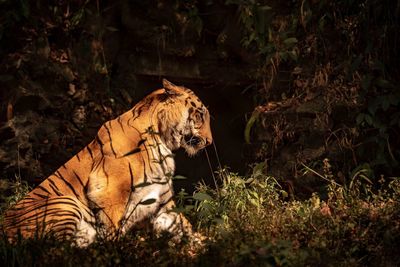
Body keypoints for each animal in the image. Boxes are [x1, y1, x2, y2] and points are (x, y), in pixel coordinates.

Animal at [2, 79, 212, 247]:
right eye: (200, 115)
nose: (209, 142)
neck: (162, 141)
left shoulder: (163, 203)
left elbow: (185, 226)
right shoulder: (110, 191)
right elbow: (112, 227)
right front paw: (114, 252)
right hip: (66, 203)